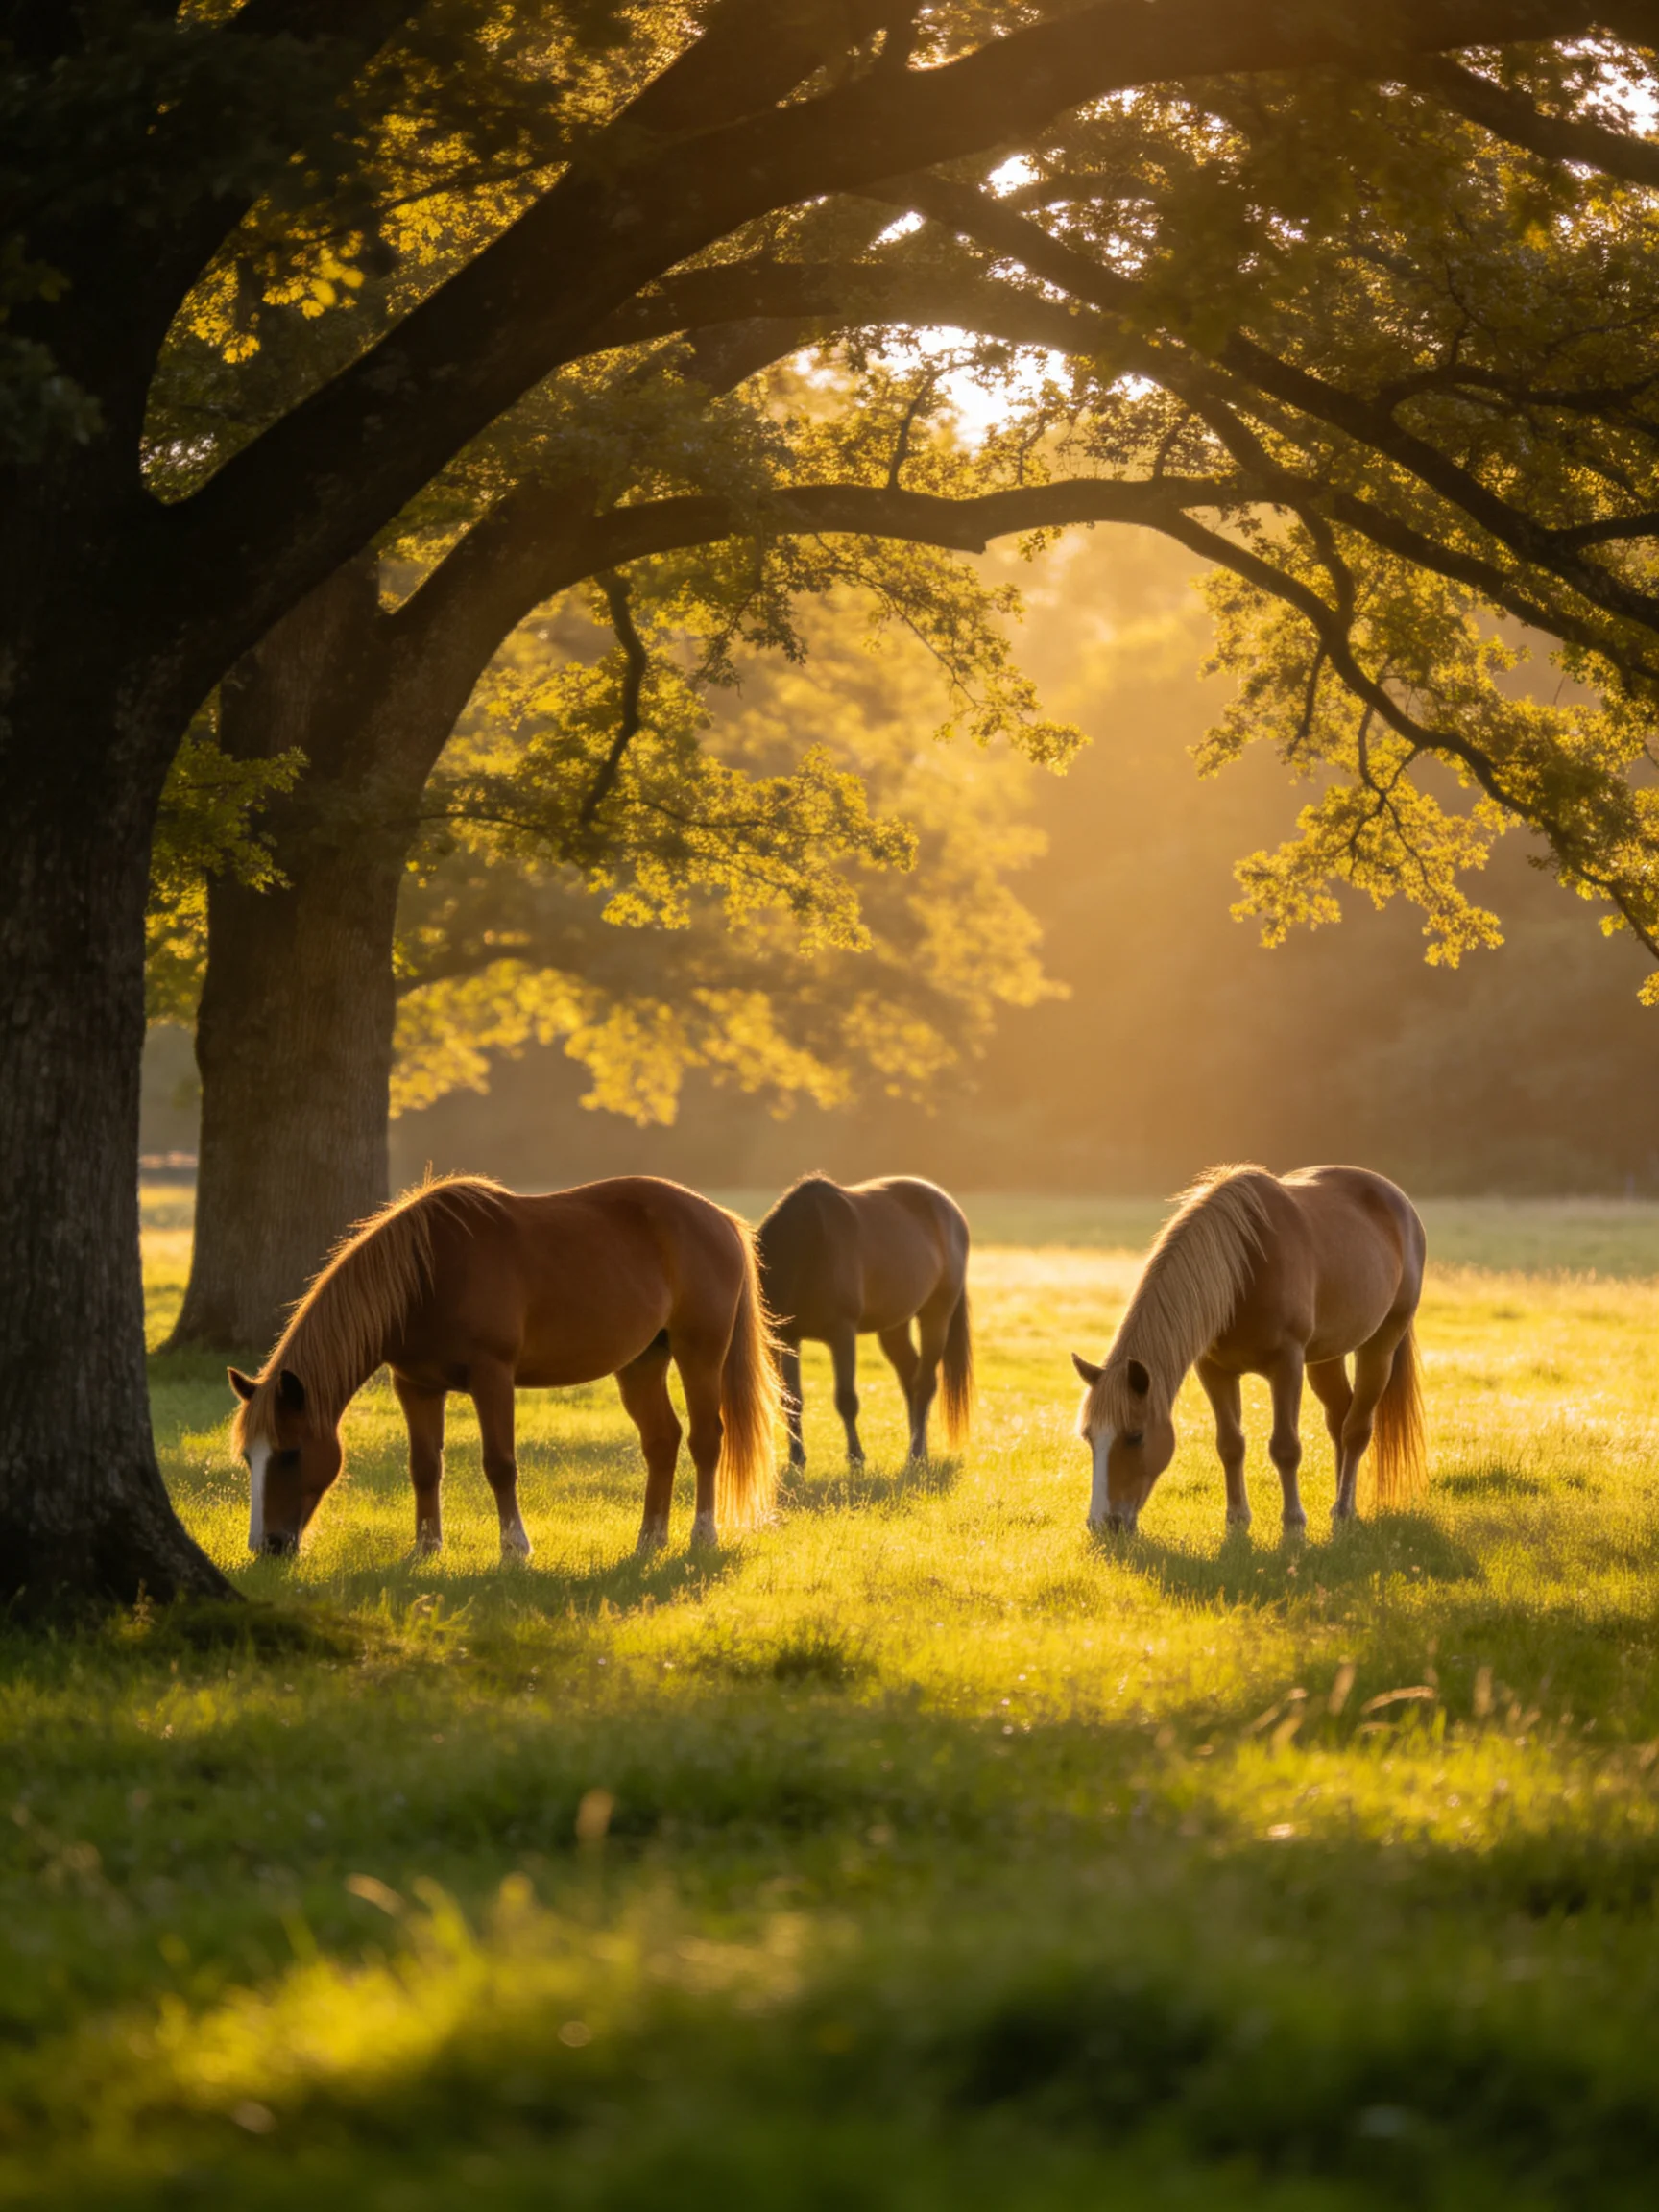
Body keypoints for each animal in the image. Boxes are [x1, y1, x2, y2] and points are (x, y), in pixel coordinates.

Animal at [227, 1173, 779, 1560]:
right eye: (249, 1458)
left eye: (292, 1453)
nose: (267, 1547)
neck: (427, 1276)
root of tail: (721, 1219)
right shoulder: (415, 1386)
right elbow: (424, 1467)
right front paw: (425, 1548)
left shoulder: (492, 1378)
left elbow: (499, 1464)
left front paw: (515, 1548)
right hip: (641, 1362)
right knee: (662, 1441)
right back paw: (649, 1540)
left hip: (699, 1351)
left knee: (706, 1439)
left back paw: (702, 1535)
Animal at [756, 1173, 972, 1468]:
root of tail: (952, 1211)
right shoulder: (787, 1336)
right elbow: (792, 1399)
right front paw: (797, 1459)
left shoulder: (842, 1333)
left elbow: (846, 1399)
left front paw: (856, 1457)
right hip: (895, 1326)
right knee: (910, 1377)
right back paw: (920, 1450)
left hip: (936, 1316)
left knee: (924, 1383)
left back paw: (915, 1454)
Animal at [1071, 1163, 1426, 1537]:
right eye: (1089, 1436)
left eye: (1135, 1436)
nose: (1102, 1524)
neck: (1243, 1270)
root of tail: (1398, 1200)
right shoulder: (1214, 1370)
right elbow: (1230, 1444)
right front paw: (1237, 1519)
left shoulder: (1287, 1365)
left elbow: (1285, 1447)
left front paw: (1293, 1524)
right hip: (1327, 1357)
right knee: (1339, 1419)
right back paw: (1345, 1503)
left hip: (1380, 1346)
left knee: (1355, 1429)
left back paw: (1343, 1510)